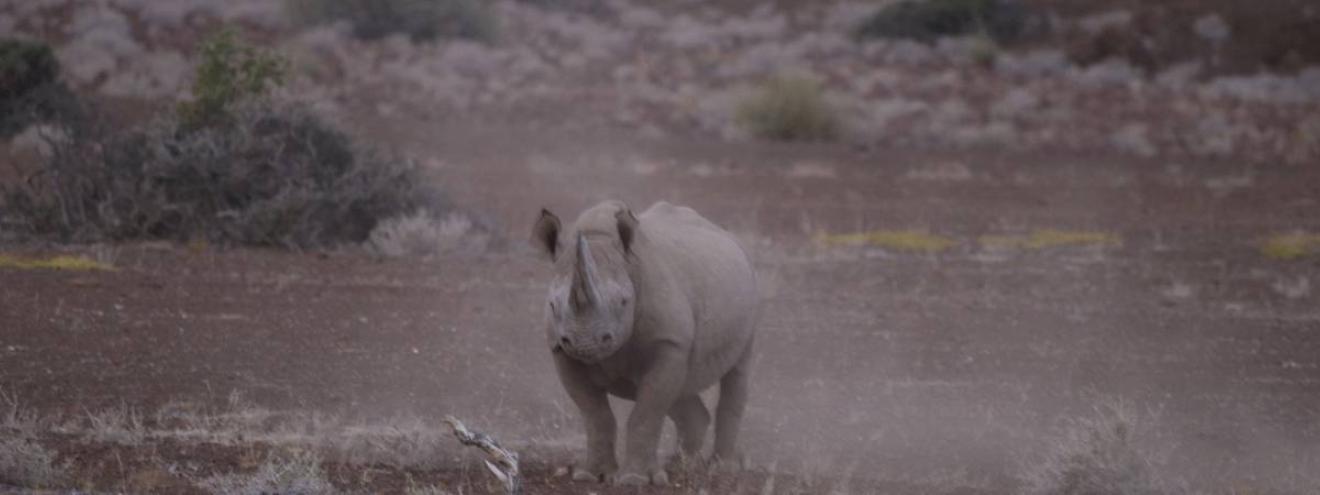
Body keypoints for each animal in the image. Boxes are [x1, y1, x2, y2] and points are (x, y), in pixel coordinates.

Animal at [531, 200, 758, 486]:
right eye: (552, 305)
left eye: (623, 302)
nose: (585, 343)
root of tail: (726, 234)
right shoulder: (560, 349)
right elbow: (595, 414)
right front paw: (592, 475)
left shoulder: (670, 342)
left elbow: (647, 412)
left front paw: (635, 480)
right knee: (683, 389)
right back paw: (679, 466)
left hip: (750, 286)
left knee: (737, 373)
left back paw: (722, 468)